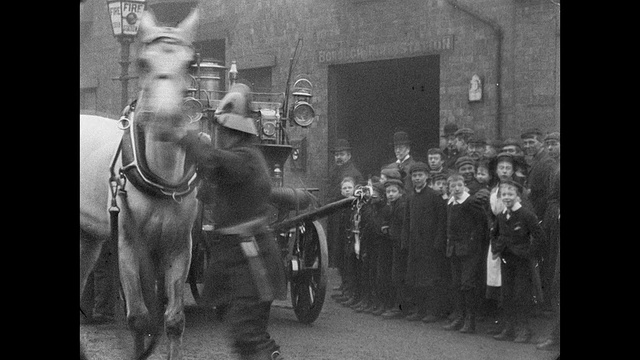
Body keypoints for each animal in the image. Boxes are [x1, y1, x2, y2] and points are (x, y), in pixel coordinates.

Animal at [80, 8, 200, 360]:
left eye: (191, 64)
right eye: (143, 62)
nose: (165, 119)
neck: (162, 180)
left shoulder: (179, 245)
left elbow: (172, 321)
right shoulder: (128, 245)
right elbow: (138, 320)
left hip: (88, 238)